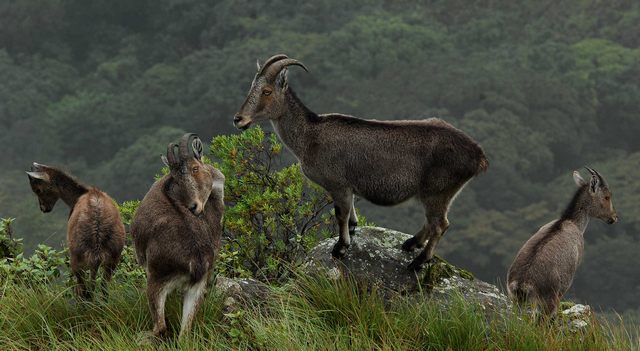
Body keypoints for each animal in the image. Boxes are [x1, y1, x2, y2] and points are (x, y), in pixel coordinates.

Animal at [26, 164, 125, 298]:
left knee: (85, 290)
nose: (43, 208)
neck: (79, 195)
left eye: (38, 190)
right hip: (114, 255)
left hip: (77, 256)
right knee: (103, 288)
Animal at [131, 133, 226, 340]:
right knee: (185, 332)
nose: (193, 207)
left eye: (195, 168)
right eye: (176, 177)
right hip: (196, 288)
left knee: (160, 327)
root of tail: (195, 260)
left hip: (156, 280)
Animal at [232, 53, 488, 270]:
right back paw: (410, 244)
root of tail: (478, 155)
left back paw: (418, 261)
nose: (238, 119)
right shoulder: (348, 186)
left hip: (437, 191)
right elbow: (350, 212)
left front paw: (340, 247)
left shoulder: (338, 184)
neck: (310, 136)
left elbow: (340, 214)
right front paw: (353, 230)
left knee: (440, 224)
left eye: (266, 91)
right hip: (440, 194)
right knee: (434, 222)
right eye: (251, 87)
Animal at [508, 168, 616, 316]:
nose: (614, 217)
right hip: (548, 298)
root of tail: (521, 283)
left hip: (516, 300)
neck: (571, 222)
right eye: (606, 196)